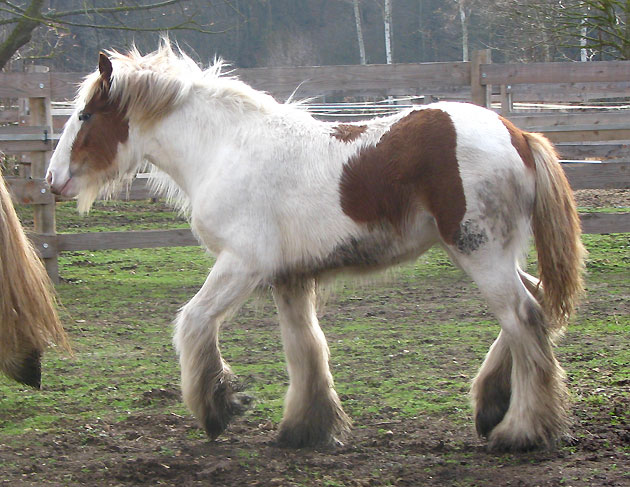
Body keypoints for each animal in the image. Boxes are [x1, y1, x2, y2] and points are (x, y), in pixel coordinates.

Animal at [48, 43, 588, 452]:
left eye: (86, 115)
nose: (53, 180)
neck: (225, 148)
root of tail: (518, 133)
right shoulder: (289, 277)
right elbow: (304, 346)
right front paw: (305, 428)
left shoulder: (242, 264)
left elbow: (194, 321)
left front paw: (218, 408)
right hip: (494, 252)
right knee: (536, 300)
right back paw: (491, 405)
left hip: (480, 252)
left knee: (523, 317)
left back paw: (521, 430)